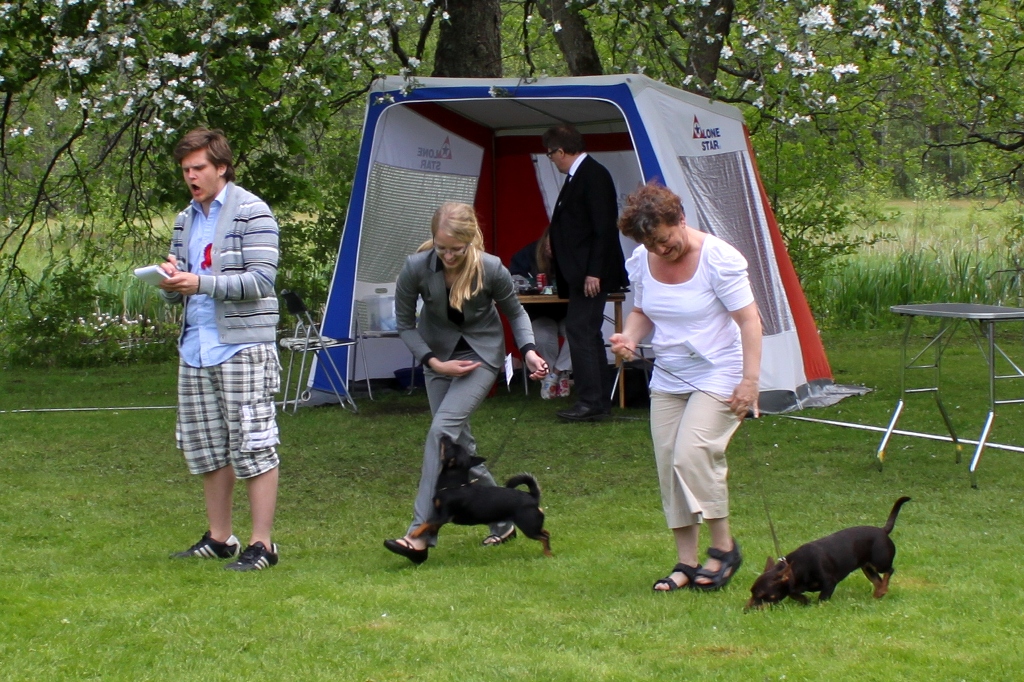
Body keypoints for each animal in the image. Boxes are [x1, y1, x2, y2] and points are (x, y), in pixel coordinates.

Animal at [409, 436, 552, 556]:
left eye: (449, 446)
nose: (445, 436)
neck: (454, 485)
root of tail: (533, 497)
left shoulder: (444, 516)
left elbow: (428, 522)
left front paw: (414, 533)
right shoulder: (441, 517)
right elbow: (432, 525)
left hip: (528, 526)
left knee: (544, 537)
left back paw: (547, 555)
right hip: (533, 525)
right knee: (546, 532)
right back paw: (548, 552)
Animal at [746, 496, 910, 610]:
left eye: (760, 595)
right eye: (752, 592)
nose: (745, 610)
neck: (797, 568)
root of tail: (883, 530)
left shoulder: (829, 583)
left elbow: (822, 598)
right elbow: (793, 593)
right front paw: (805, 601)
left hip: (880, 563)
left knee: (889, 571)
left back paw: (882, 589)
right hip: (867, 567)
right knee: (878, 580)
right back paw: (879, 593)